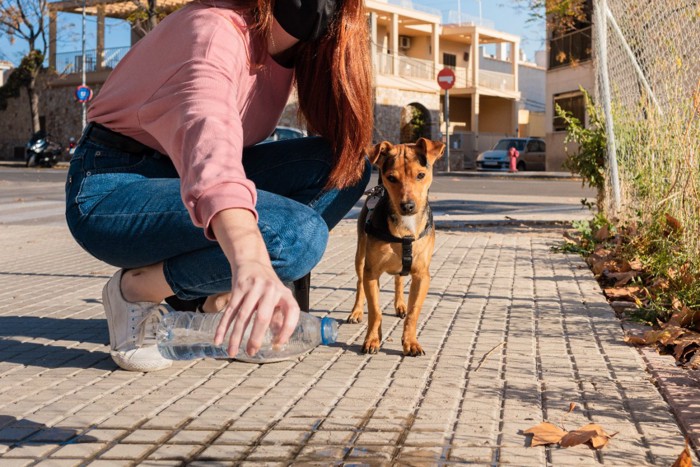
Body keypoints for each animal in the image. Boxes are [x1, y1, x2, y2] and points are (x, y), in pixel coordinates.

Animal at [348, 137, 446, 356]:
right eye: (391, 178)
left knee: (399, 281)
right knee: (359, 283)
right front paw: (372, 339)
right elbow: (375, 311)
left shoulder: (422, 275)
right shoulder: (371, 273)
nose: (408, 206)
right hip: (360, 256)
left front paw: (411, 342)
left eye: (421, 175)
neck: (405, 227)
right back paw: (356, 311)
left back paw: (400, 305)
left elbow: (413, 312)